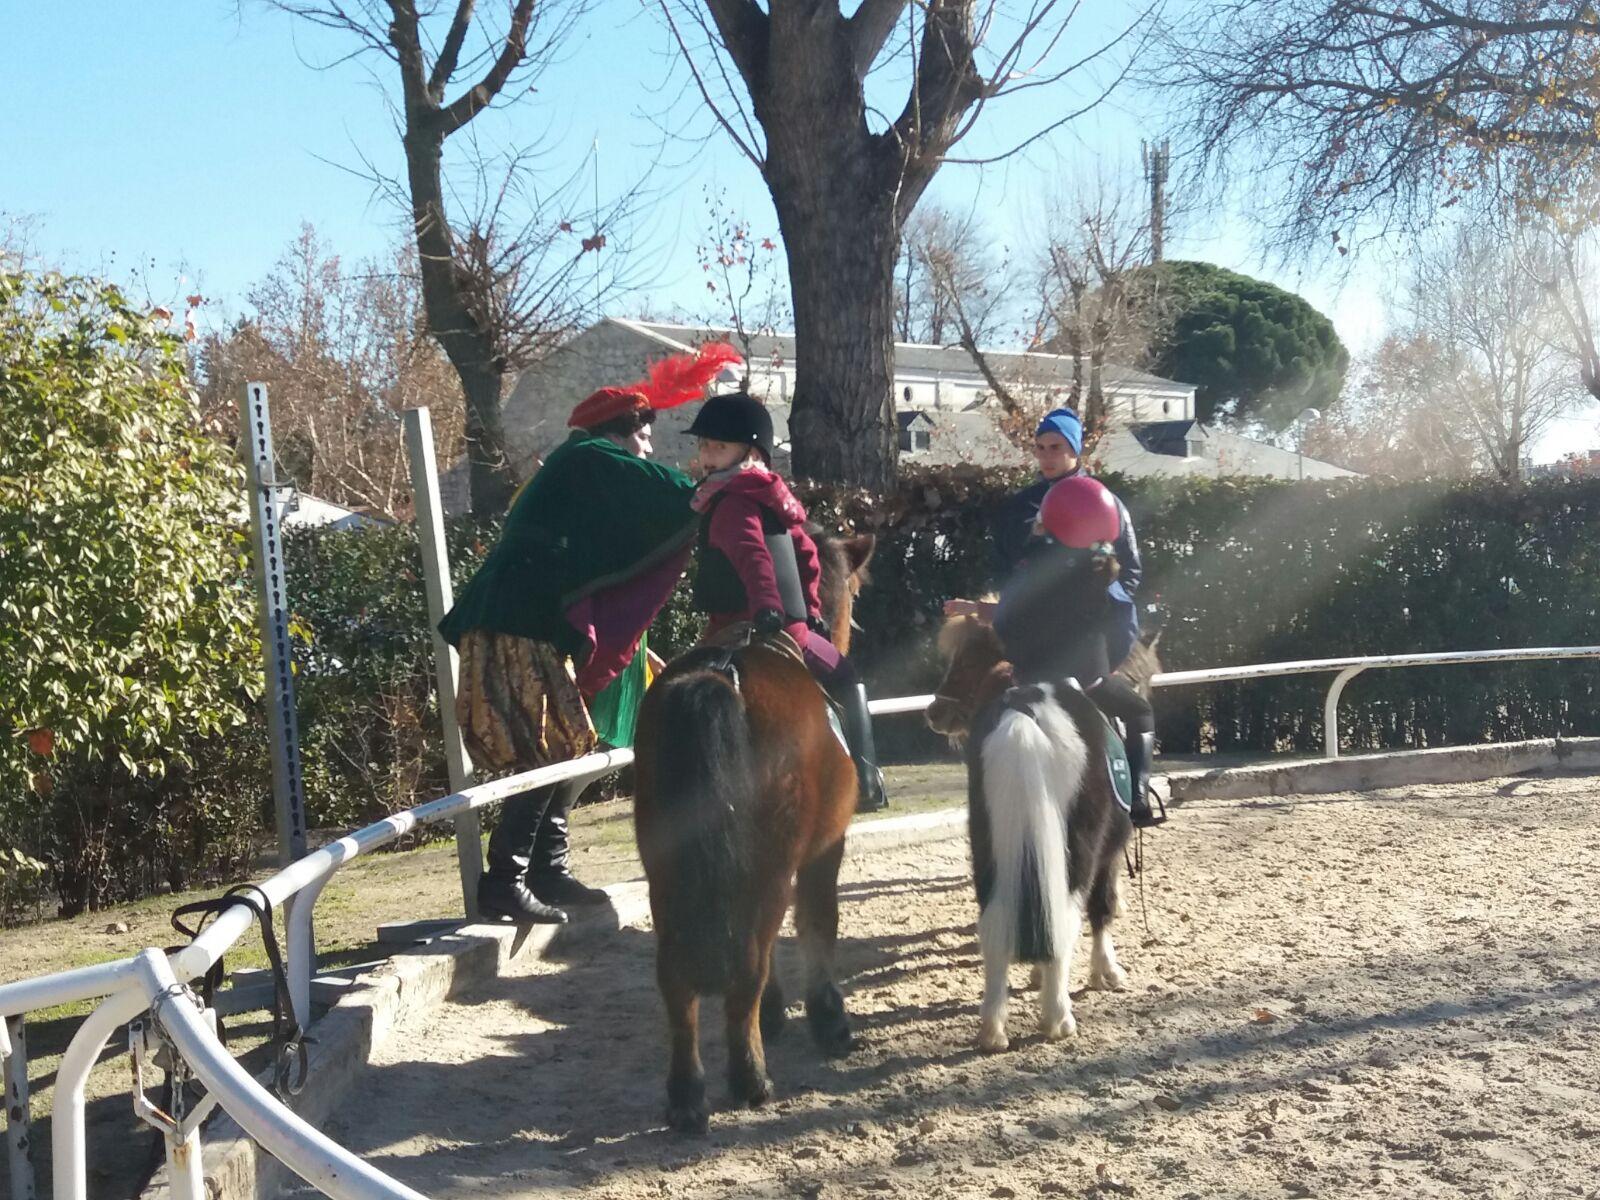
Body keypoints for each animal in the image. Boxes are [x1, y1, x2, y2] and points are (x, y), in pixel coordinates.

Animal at [630, 531, 876, 1132]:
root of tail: (718, 676)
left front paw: (779, 1015)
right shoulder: (823, 851)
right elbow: (818, 924)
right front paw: (827, 1018)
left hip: (667, 877)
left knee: (677, 979)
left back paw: (687, 1095)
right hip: (768, 870)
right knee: (748, 964)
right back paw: (750, 1079)